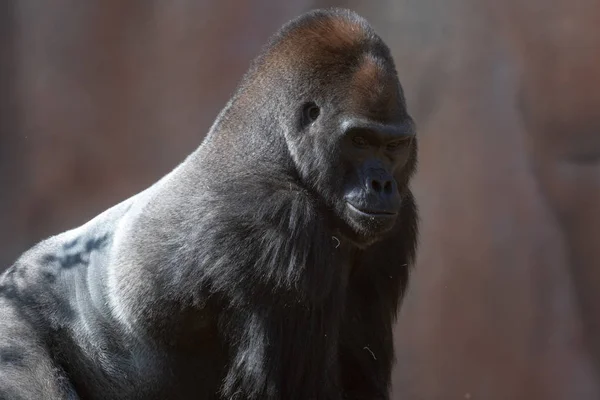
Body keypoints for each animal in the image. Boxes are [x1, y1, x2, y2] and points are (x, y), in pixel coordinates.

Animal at [0, 7, 418, 400]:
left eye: (394, 145)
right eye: (359, 141)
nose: (382, 184)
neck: (280, 150)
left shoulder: (395, 223)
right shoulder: (280, 222)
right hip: (11, 322)